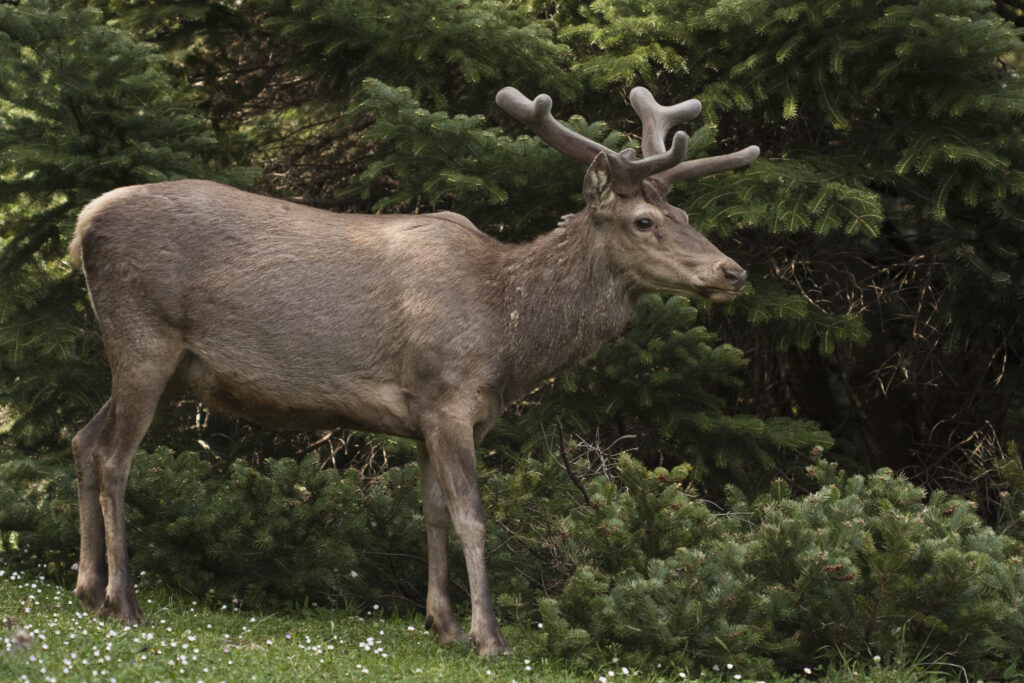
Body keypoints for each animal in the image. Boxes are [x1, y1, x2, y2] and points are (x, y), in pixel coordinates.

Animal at [68, 87, 757, 655]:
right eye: (644, 221)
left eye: (686, 218)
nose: (733, 271)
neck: (509, 337)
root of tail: (84, 223)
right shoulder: (448, 397)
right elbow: (473, 516)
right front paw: (489, 637)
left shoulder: (432, 414)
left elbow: (431, 512)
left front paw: (443, 623)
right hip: (144, 336)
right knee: (113, 455)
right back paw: (122, 601)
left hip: (171, 366)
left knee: (81, 438)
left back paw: (86, 588)